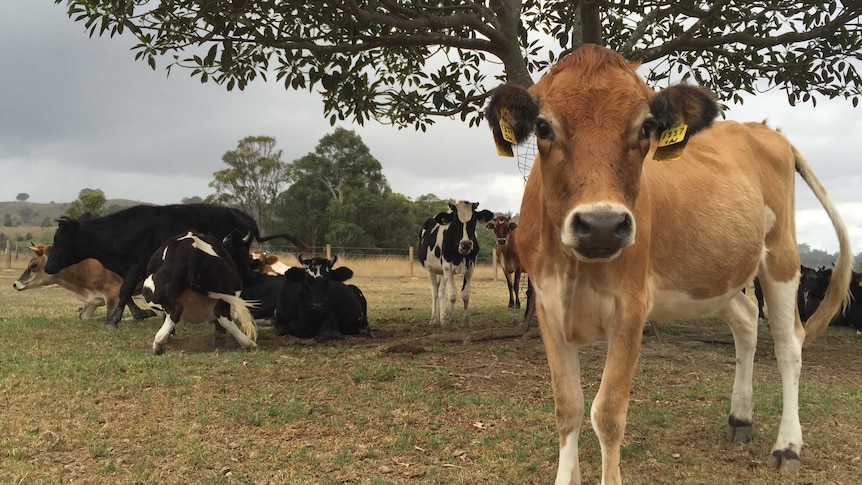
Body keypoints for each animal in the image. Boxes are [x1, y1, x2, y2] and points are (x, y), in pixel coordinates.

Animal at [418, 199, 492, 328]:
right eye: (455, 223)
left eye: (473, 222)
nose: (466, 244)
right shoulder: (447, 266)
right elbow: (452, 294)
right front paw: (452, 322)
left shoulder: (470, 267)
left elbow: (466, 294)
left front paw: (466, 321)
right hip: (431, 270)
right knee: (435, 292)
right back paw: (434, 319)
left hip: (442, 272)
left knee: (441, 291)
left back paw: (443, 319)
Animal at [486, 43, 856, 482]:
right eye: (543, 126)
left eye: (646, 127)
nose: (601, 227)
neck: (576, 268)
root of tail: (764, 129)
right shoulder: (547, 303)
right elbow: (568, 408)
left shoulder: (631, 308)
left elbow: (607, 414)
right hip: (718, 275)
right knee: (747, 322)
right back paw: (740, 418)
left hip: (781, 257)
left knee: (788, 344)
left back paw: (788, 446)